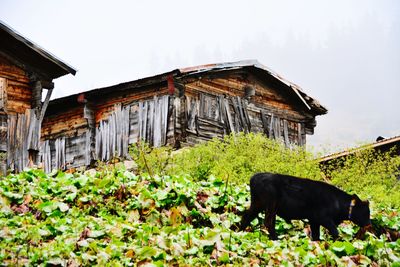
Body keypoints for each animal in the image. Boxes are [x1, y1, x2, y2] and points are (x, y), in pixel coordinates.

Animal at [239, 173, 370, 242]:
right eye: (365, 212)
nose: (369, 224)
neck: (337, 202)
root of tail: (255, 176)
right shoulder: (324, 218)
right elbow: (335, 231)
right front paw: (338, 242)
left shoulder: (314, 220)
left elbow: (316, 235)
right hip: (271, 204)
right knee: (268, 222)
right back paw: (275, 239)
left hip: (258, 204)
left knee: (246, 216)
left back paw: (239, 232)